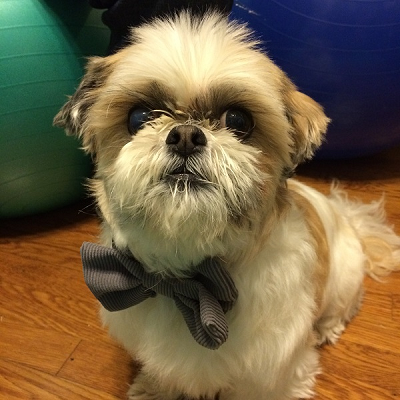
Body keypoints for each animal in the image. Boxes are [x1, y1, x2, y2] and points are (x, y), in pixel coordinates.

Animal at [54, 10, 400, 398]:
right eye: (139, 117)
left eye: (237, 120)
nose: (185, 135)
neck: (192, 283)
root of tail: (346, 216)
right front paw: (154, 389)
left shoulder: (272, 372)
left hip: (344, 276)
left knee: (339, 307)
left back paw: (326, 327)